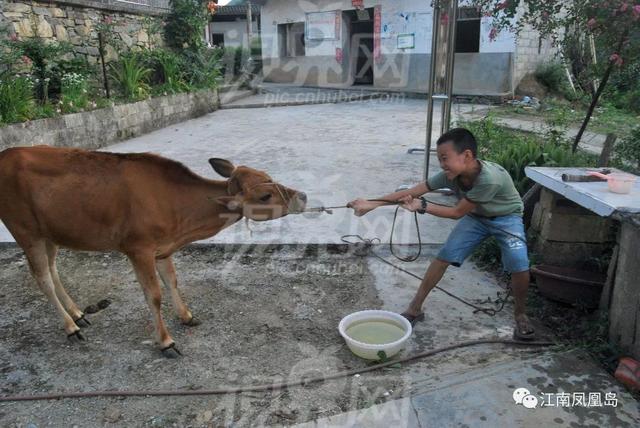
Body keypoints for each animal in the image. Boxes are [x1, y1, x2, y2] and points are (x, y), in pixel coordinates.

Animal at [0, 147, 308, 358]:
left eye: (268, 176)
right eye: (265, 196)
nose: (302, 196)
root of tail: (6, 154)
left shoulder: (163, 248)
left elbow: (172, 281)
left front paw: (186, 316)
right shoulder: (139, 249)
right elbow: (154, 296)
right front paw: (166, 342)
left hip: (50, 233)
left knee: (53, 270)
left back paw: (77, 313)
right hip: (26, 231)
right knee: (42, 278)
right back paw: (70, 327)